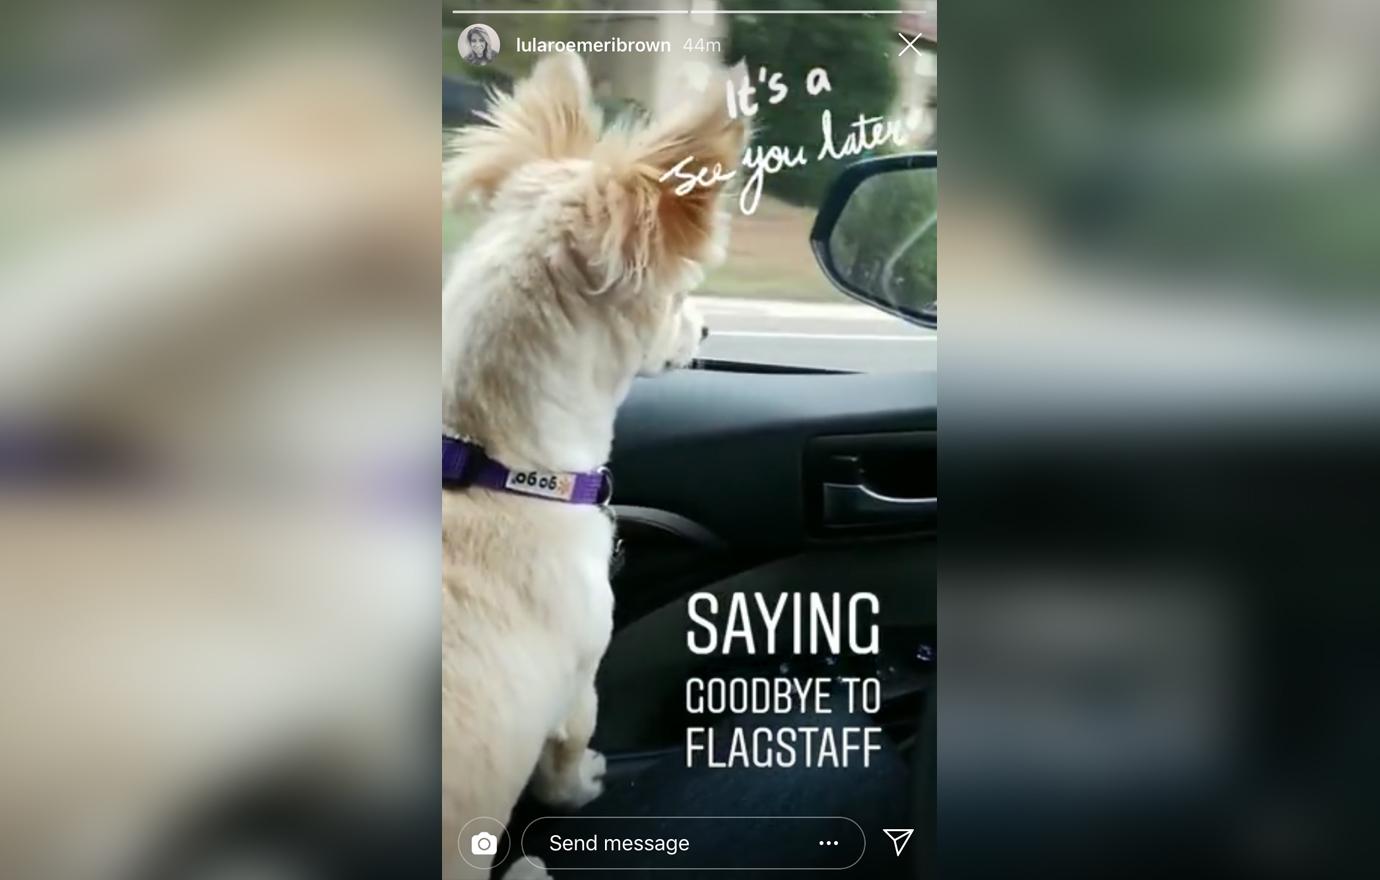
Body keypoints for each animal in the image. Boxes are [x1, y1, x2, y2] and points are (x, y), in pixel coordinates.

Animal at [438, 55, 745, 880]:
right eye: (682, 297)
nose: (710, 327)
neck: (490, 459)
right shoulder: (579, 683)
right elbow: (568, 757)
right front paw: (585, 785)